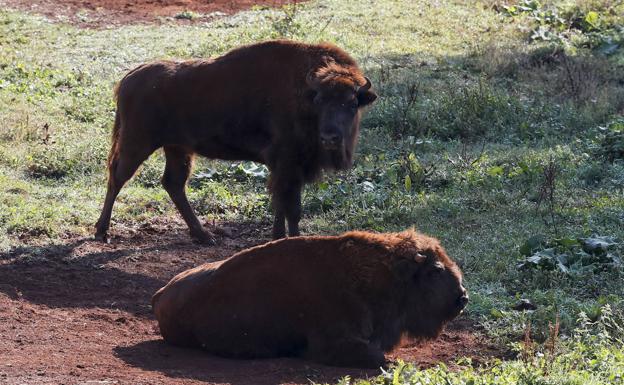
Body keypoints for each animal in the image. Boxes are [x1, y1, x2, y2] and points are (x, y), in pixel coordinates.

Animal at [92, 39, 376, 243]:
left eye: (351, 104)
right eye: (319, 101)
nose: (330, 138)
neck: (305, 94)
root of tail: (129, 77)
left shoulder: (289, 169)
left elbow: (283, 206)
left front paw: (279, 238)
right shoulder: (286, 164)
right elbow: (290, 208)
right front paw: (288, 240)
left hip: (177, 148)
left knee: (173, 183)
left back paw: (204, 236)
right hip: (137, 144)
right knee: (117, 177)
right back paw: (102, 232)